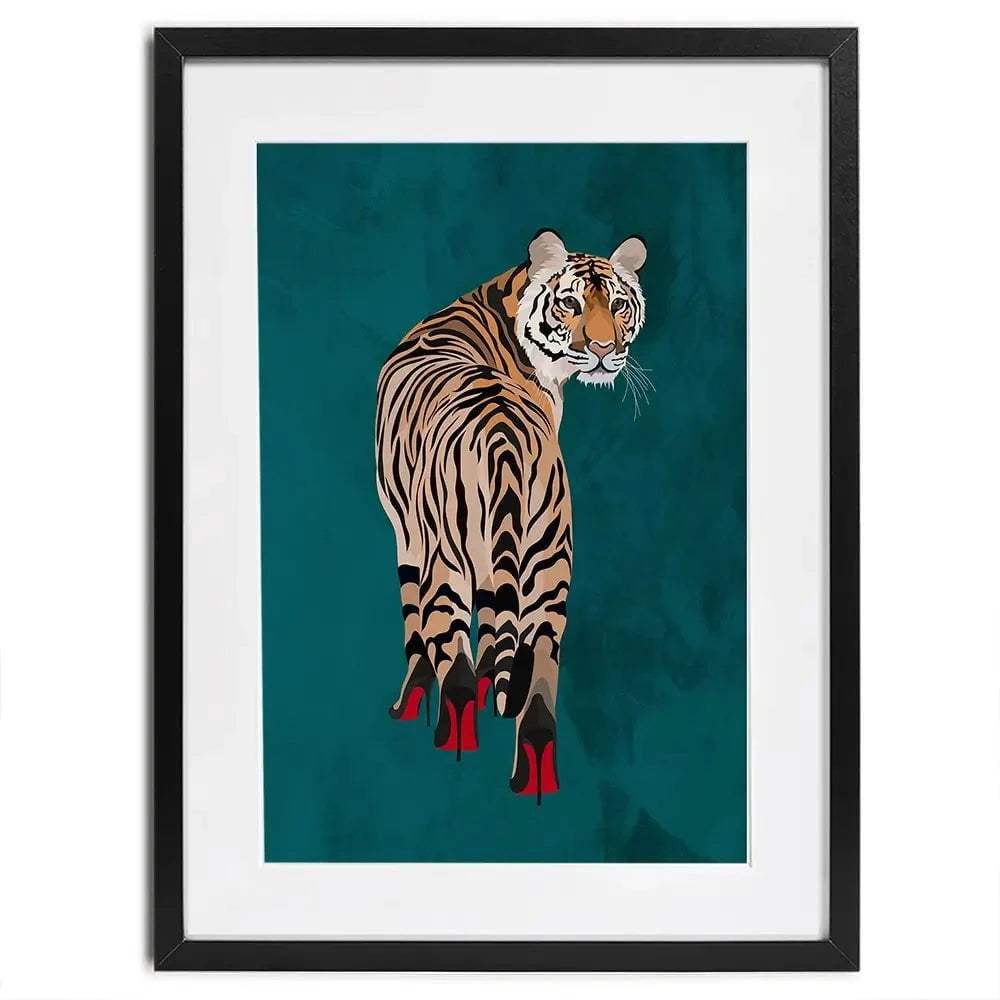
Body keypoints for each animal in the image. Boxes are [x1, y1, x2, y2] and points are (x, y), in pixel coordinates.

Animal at [375, 229, 647, 802]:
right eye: (570, 304)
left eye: (617, 305)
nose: (604, 351)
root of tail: (500, 433)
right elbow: (497, 621)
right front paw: (492, 682)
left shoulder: (410, 537)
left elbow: (418, 630)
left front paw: (410, 702)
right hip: (549, 565)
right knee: (540, 677)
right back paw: (534, 781)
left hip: (449, 561)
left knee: (454, 666)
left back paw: (453, 754)